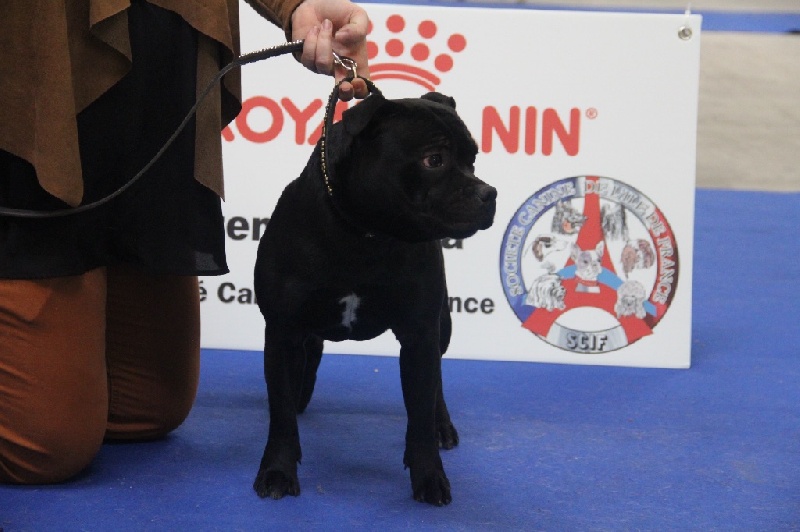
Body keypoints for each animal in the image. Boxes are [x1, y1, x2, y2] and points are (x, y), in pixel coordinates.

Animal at [252, 91, 496, 506]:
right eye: (434, 160)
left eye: (472, 160)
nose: (489, 193)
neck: (365, 234)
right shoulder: (284, 331)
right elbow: (281, 413)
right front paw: (277, 471)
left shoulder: (420, 334)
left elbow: (420, 411)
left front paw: (429, 476)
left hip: (442, 325)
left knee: (437, 381)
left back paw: (442, 425)